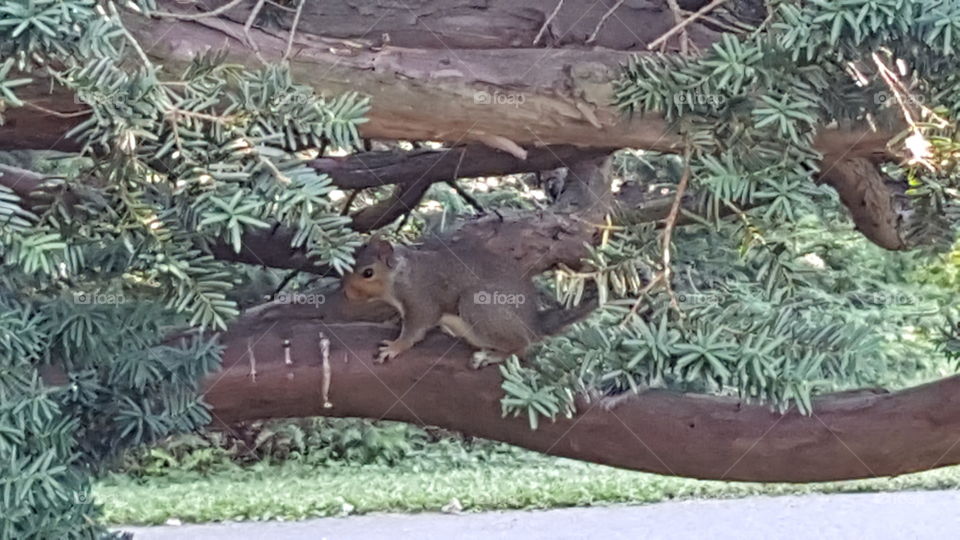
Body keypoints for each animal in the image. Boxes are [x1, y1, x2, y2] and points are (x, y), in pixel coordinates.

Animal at [342, 236, 596, 368]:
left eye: (367, 273)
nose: (347, 293)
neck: (402, 274)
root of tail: (534, 324)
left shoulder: (421, 300)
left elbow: (415, 330)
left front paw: (394, 347)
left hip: (477, 304)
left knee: (522, 346)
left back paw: (491, 356)